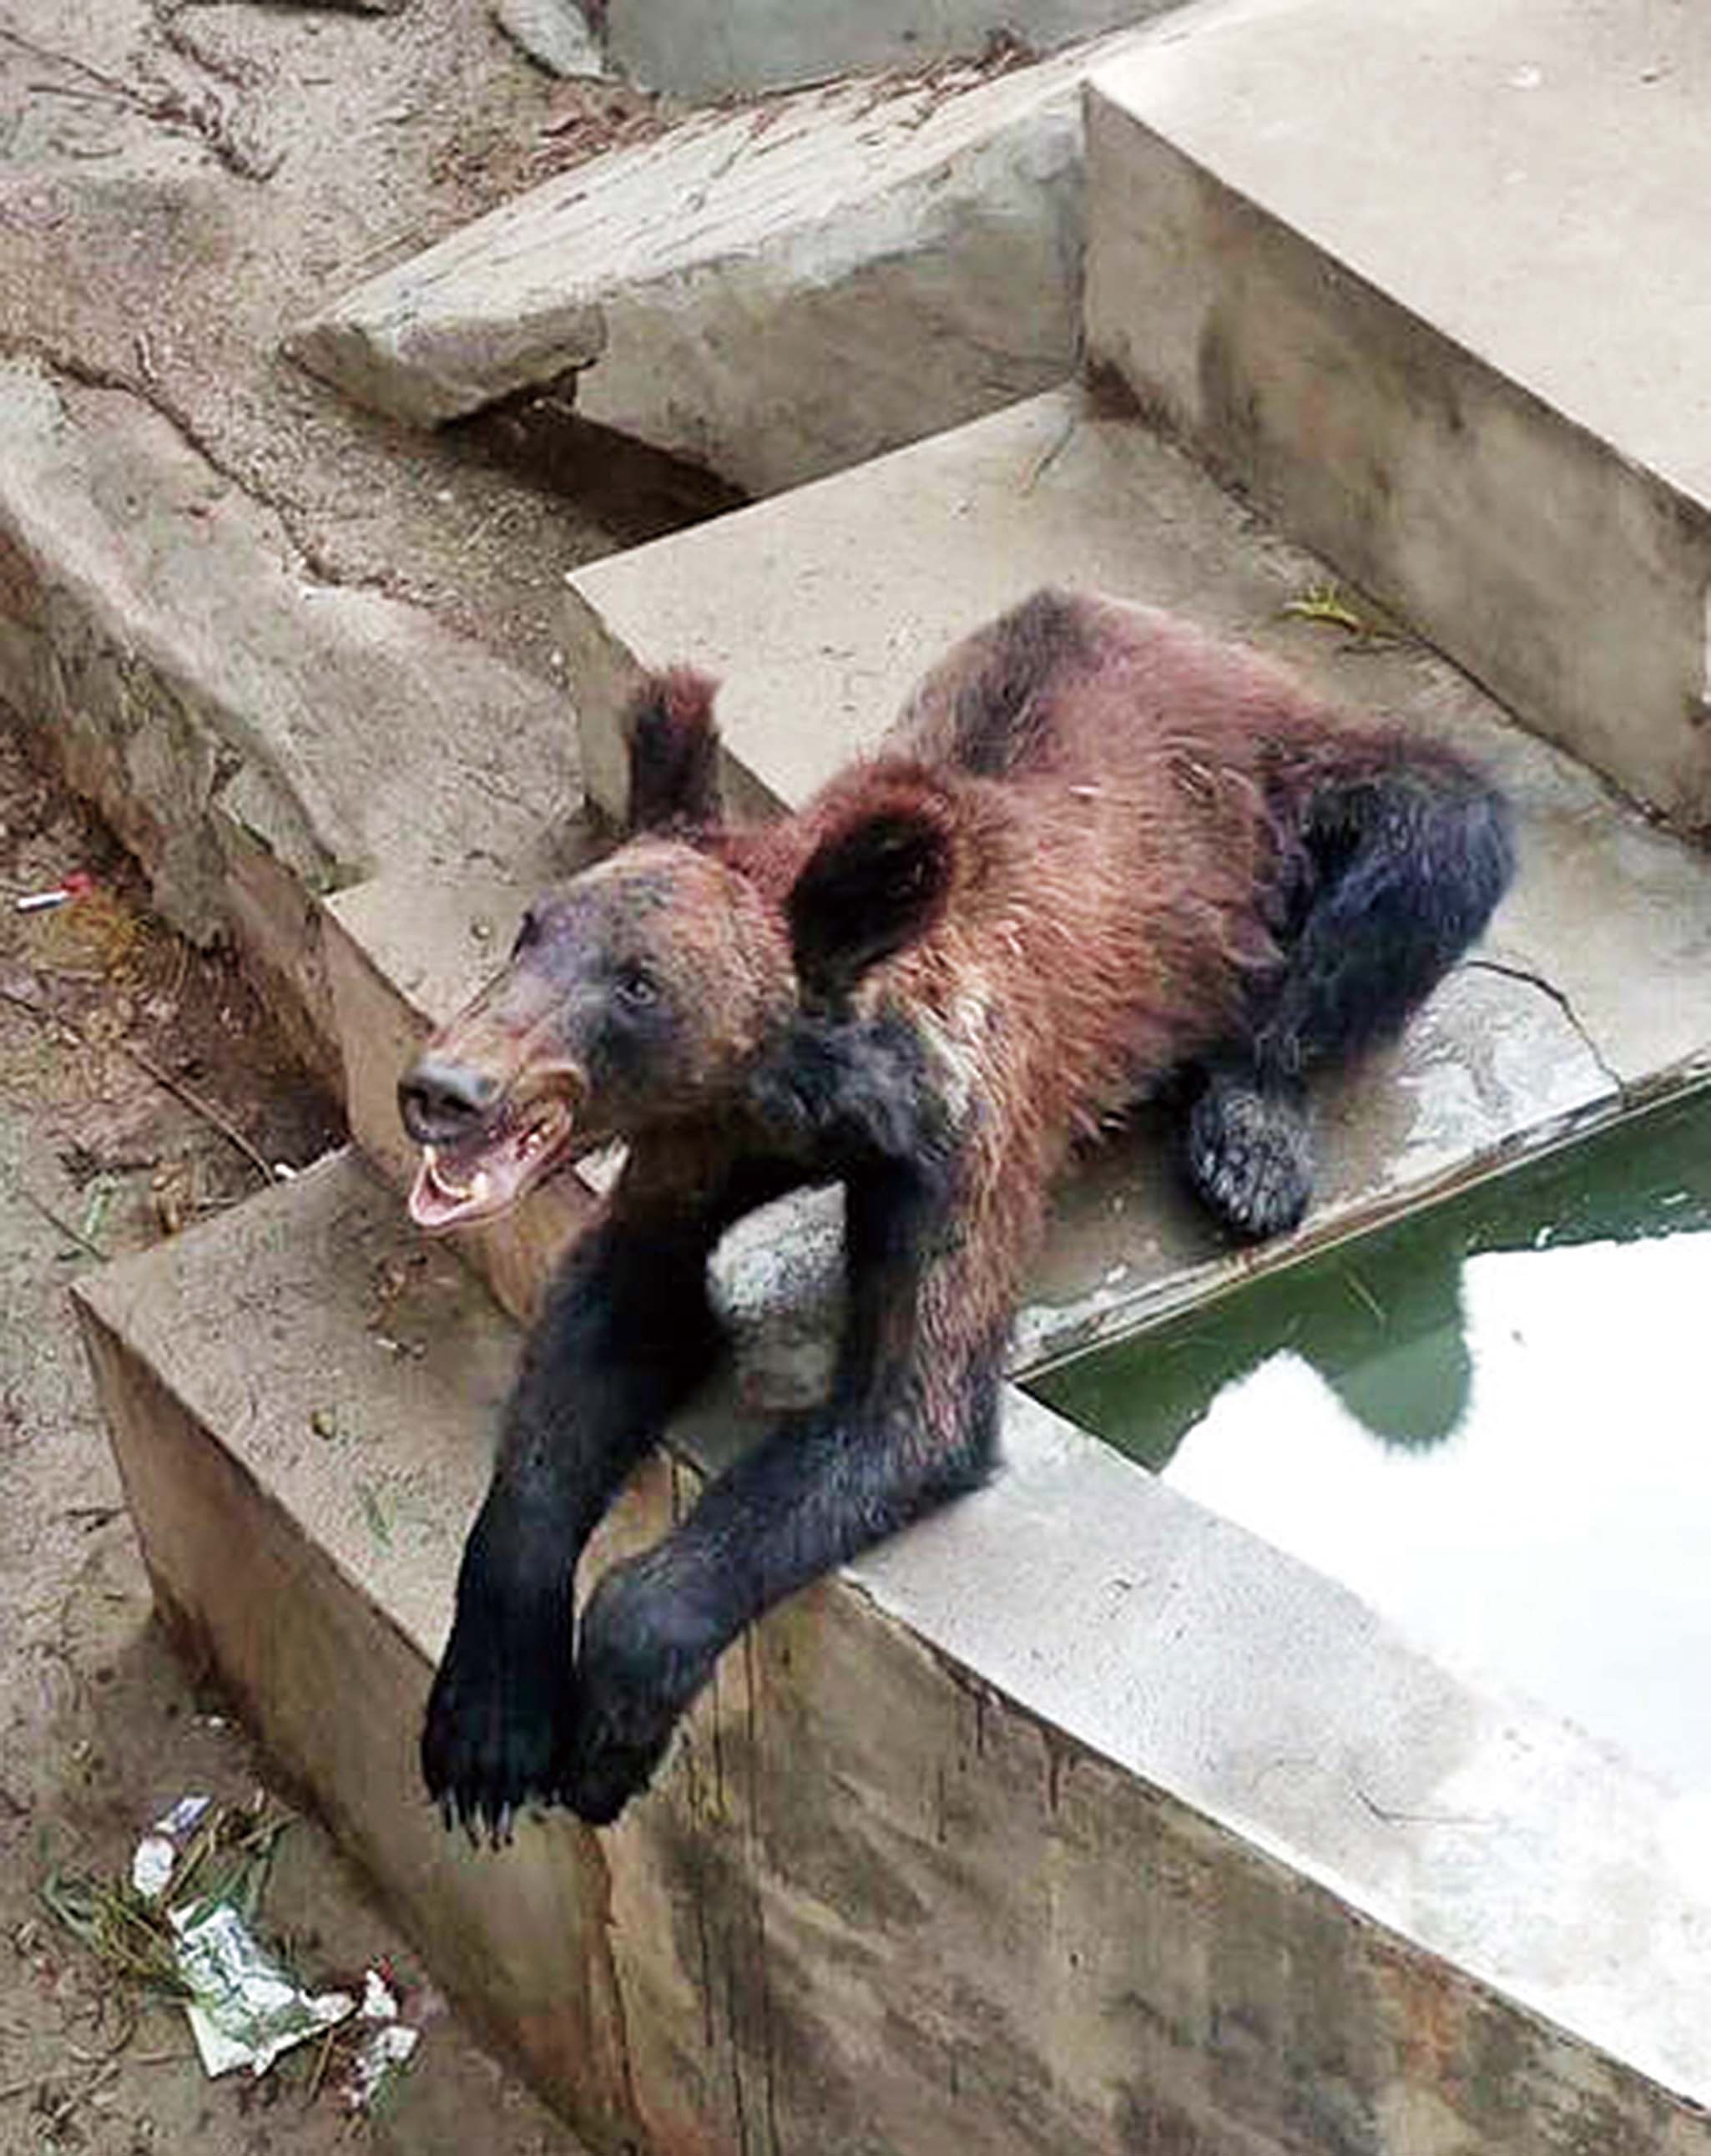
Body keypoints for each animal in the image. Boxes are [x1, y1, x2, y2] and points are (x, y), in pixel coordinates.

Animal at [397, 587, 1514, 1835]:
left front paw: (608, 1730)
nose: (446, 1087)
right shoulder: (701, 1149)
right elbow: (614, 1316)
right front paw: (488, 1721)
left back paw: (1247, 1142)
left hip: (1305, 785)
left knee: (1430, 844)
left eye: (637, 984)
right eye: (531, 929)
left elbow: (908, 1408)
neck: (812, 1098)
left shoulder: (961, 1138)